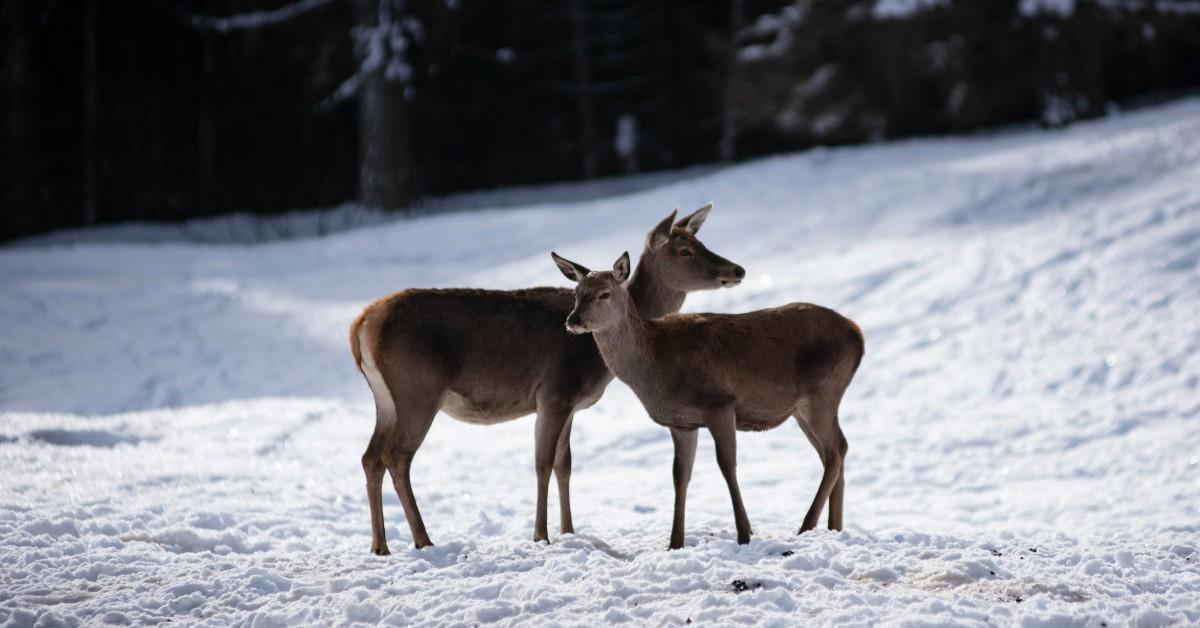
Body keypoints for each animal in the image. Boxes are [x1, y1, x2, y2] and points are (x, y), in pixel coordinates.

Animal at [348, 204, 739, 552]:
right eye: (685, 250)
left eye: (700, 241)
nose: (737, 270)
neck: (597, 362)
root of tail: (361, 326)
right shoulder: (554, 391)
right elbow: (543, 462)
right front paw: (541, 536)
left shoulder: (570, 403)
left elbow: (565, 464)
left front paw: (569, 531)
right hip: (417, 391)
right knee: (396, 456)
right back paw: (422, 539)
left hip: (385, 398)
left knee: (370, 457)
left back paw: (380, 546)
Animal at [552, 250, 864, 549]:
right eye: (576, 293)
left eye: (604, 294)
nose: (573, 320)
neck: (656, 368)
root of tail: (858, 336)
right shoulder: (681, 423)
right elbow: (680, 475)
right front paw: (674, 543)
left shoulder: (720, 403)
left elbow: (727, 464)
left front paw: (744, 534)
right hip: (803, 408)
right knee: (834, 451)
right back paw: (833, 528)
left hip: (822, 392)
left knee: (836, 450)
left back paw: (806, 526)